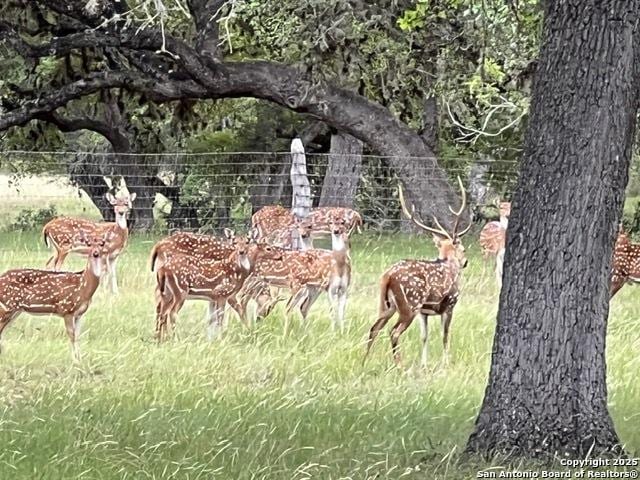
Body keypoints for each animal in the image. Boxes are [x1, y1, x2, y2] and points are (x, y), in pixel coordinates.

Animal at [0, 232, 110, 360]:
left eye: (102, 243)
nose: (95, 253)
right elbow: (72, 336)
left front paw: (80, 358)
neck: (83, 286)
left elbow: (78, 336)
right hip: (7, 306)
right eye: (88, 244)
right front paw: (75, 360)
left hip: (15, 310)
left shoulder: (79, 314)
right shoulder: (67, 309)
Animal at [364, 178, 470, 370]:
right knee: (393, 331)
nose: (465, 262)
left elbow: (424, 336)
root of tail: (388, 276)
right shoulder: (450, 304)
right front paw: (445, 363)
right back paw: (399, 365)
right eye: (463, 249)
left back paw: (364, 361)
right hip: (409, 304)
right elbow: (445, 336)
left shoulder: (424, 312)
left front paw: (424, 364)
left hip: (387, 304)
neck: (448, 264)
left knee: (374, 328)